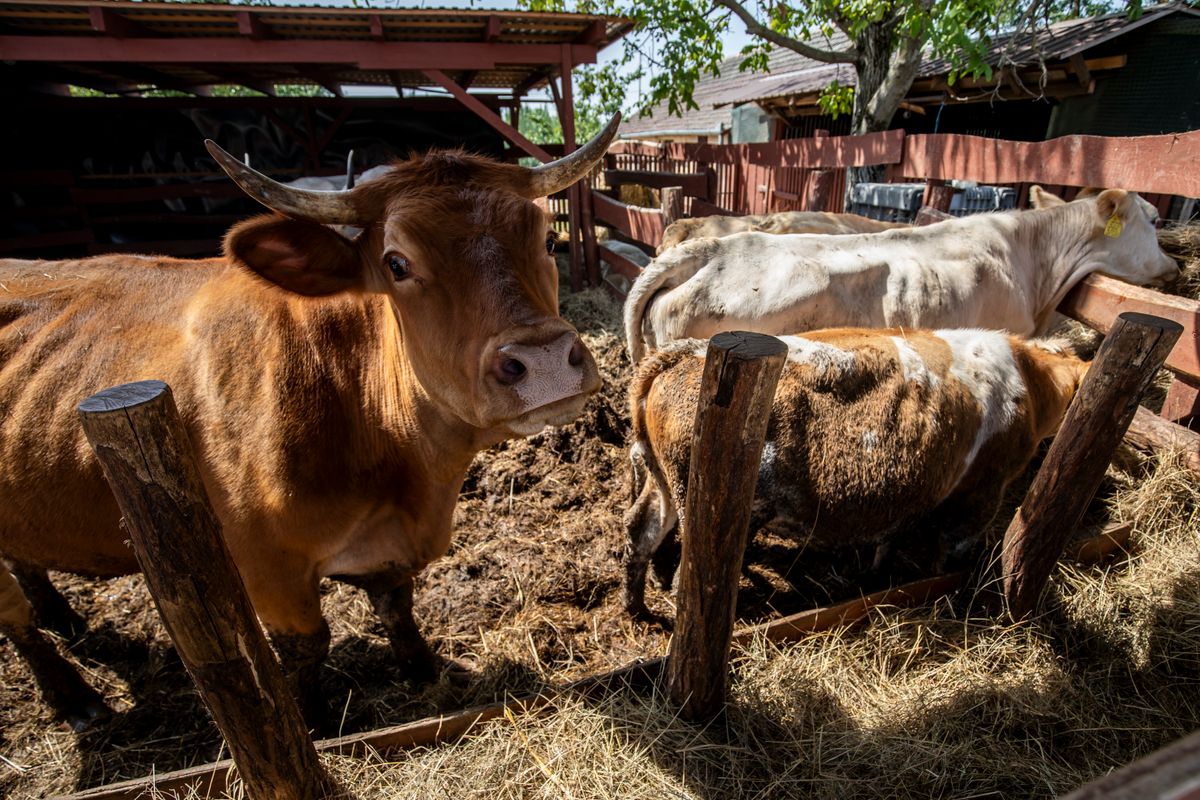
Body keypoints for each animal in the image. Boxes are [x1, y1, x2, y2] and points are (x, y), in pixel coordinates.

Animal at [0, 115, 619, 729]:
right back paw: (76, 699)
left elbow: (396, 606)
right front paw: (315, 722)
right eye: (397, 263)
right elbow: (306, 648)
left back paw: (64, 619)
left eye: (549, 240)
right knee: (17, 622)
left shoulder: (387, 545)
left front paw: (424, 671)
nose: (544, 361)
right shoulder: (266, 567)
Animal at [624, 328, 1094, 618]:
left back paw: (636, 608)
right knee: (684, 578)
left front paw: (876, 573)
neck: (1031, 383)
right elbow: (949, 555)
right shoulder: (980, 496)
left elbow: (889, 537)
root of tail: (682, 353)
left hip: (662, 482)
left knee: (639, 529)